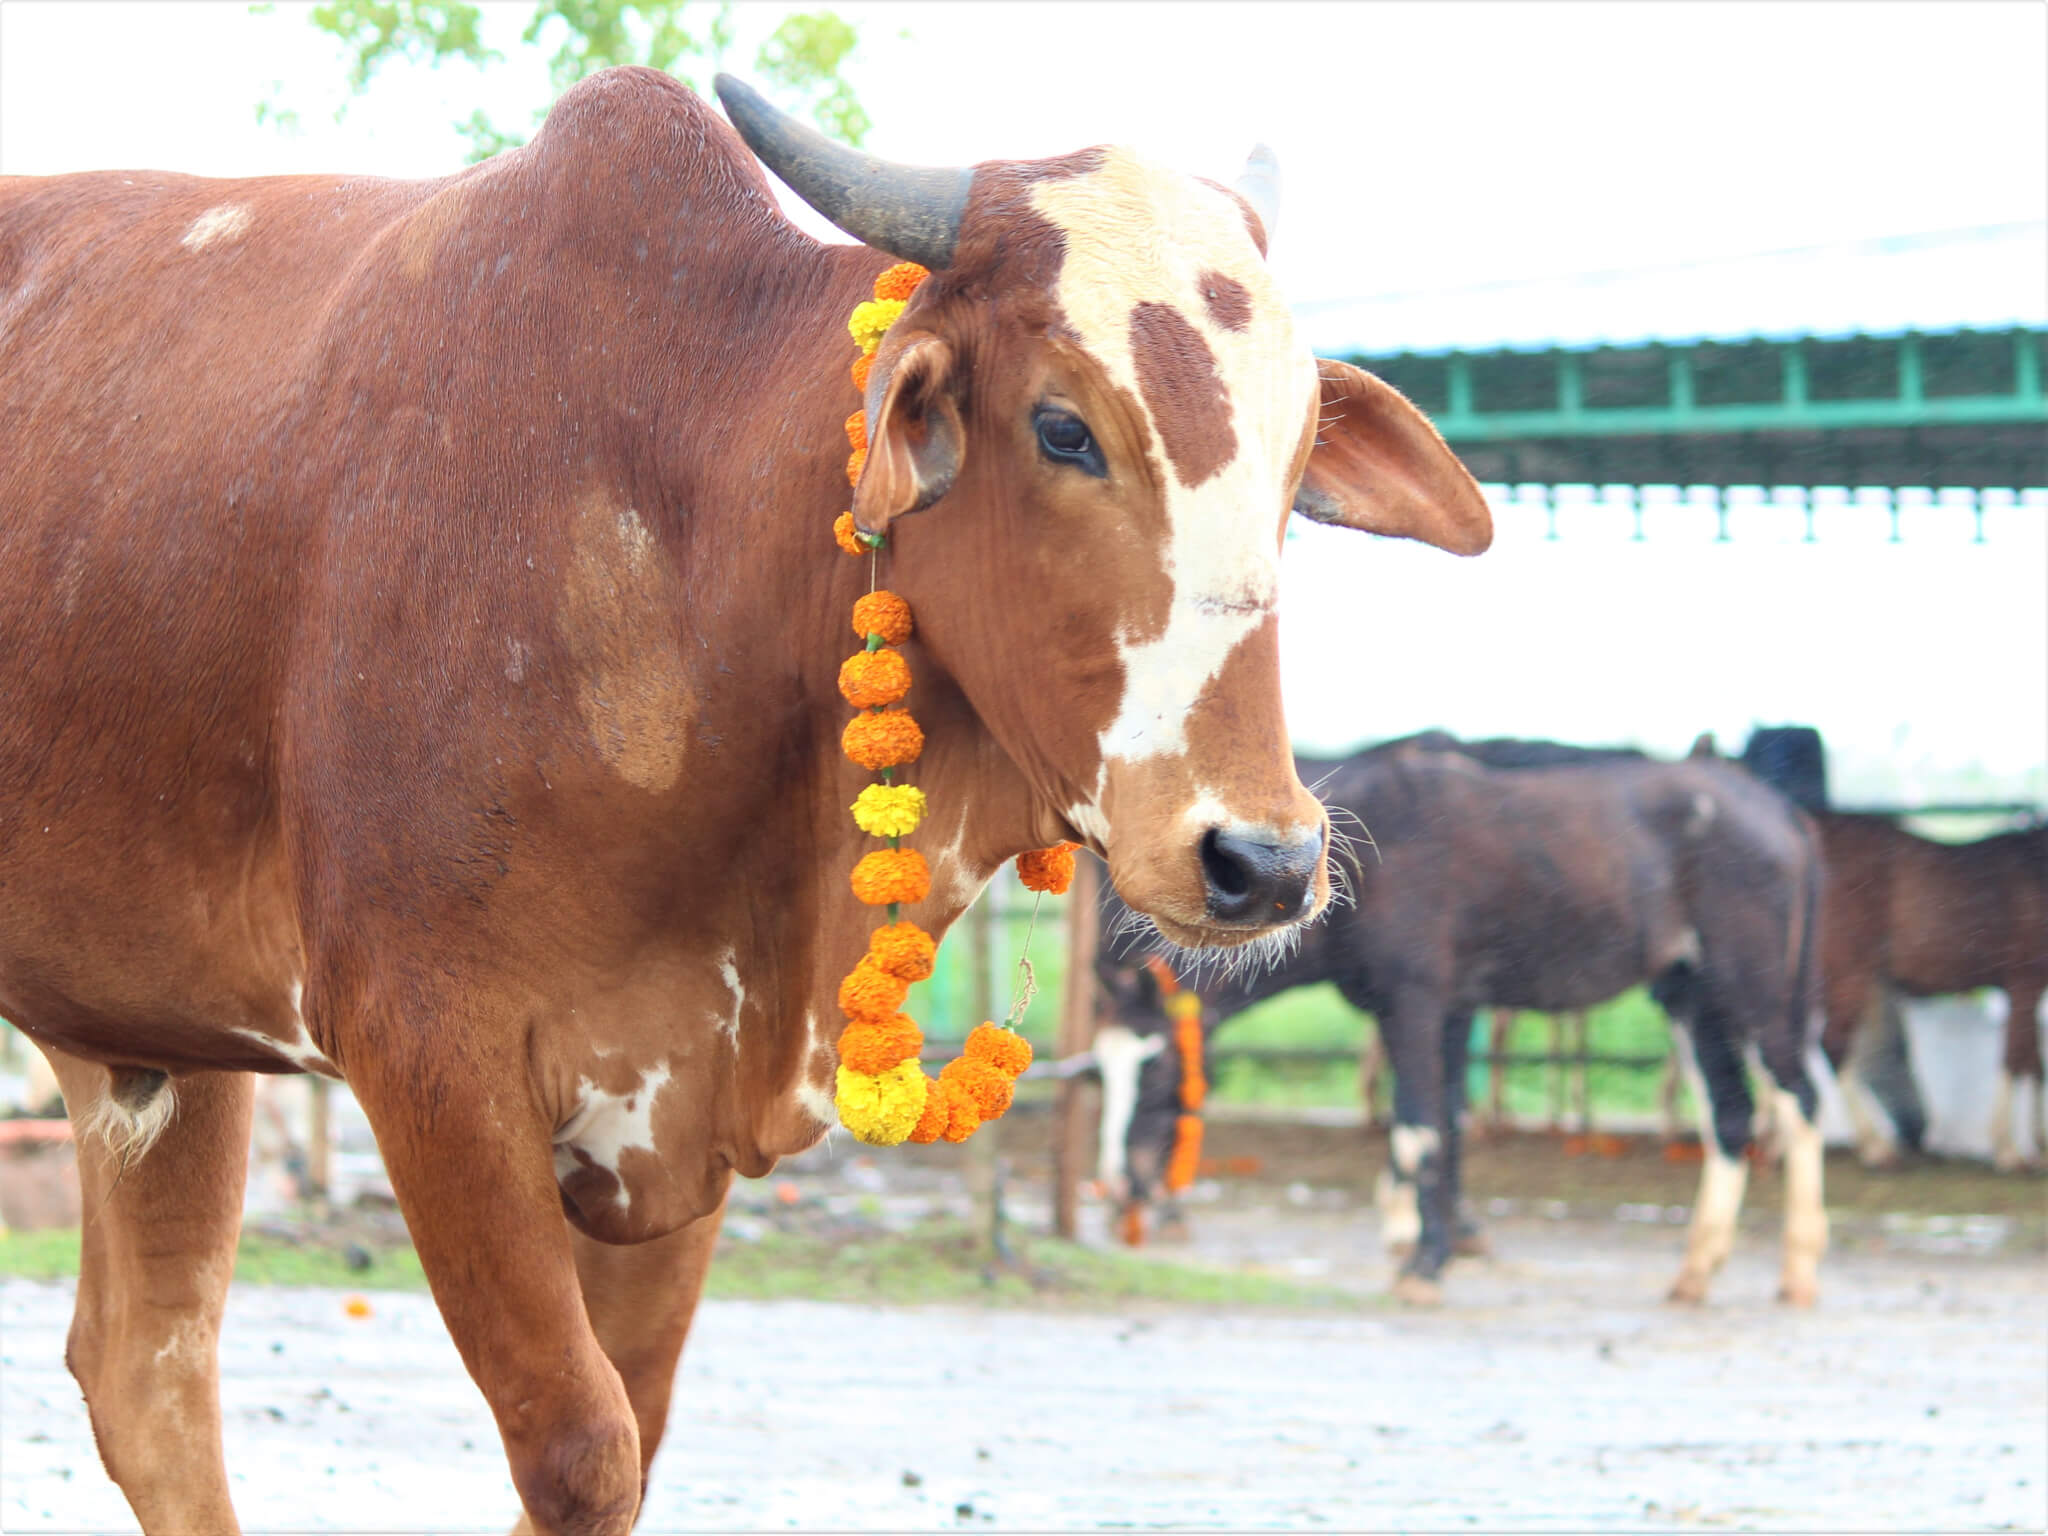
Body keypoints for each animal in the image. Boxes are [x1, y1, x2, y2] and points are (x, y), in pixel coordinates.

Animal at [0, 69, 1490, 1531]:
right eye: (1065, 428)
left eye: (1293, 467)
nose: (1262, 861)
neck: (681, 522)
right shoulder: (428, 1060)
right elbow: (580, 1450)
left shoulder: (674, 1124)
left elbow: (633, 1434)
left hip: (155, 1045)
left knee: (147, 1373)